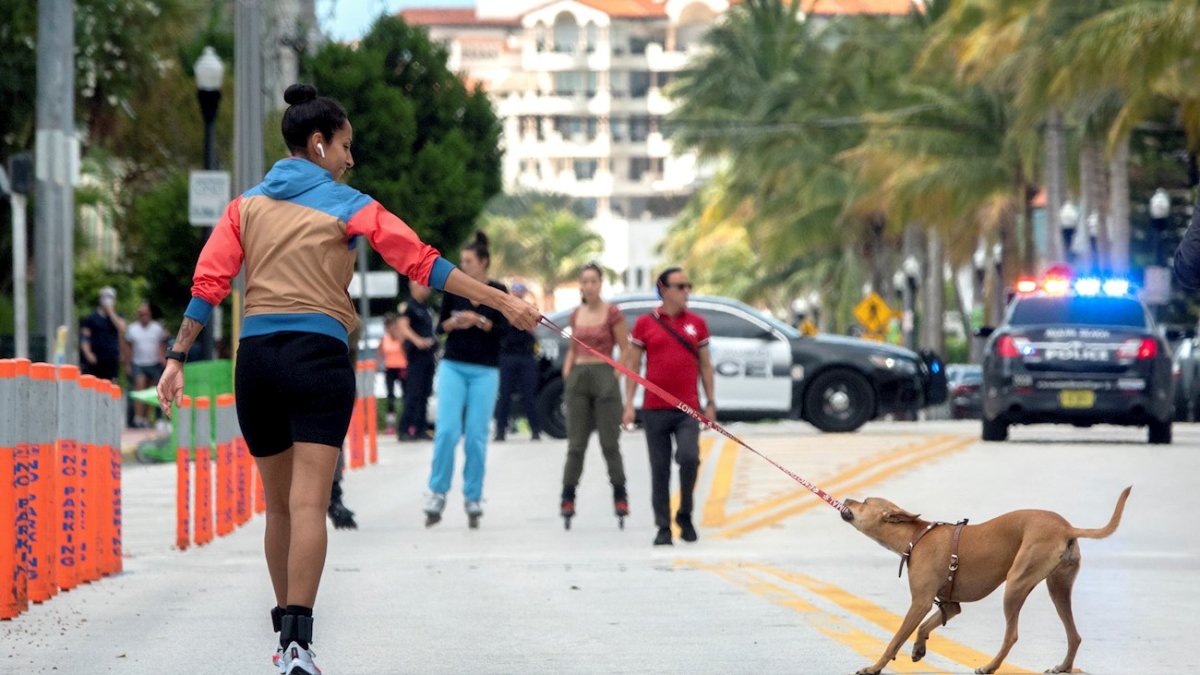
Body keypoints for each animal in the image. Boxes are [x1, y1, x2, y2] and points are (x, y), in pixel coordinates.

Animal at [840, 482, 1128, 672]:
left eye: (865, 502)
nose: (846, 499)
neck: (915, 536)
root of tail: (1067, 528)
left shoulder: (920, 603)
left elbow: (895, 640)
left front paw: (874, 668)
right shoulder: (950, 606)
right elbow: (925, 627)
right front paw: (919, 648)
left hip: (1016, 584)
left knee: (1012, 636)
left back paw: (989, 667)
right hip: (1058, 588)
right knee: (1074, 635)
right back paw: (1063, 667)